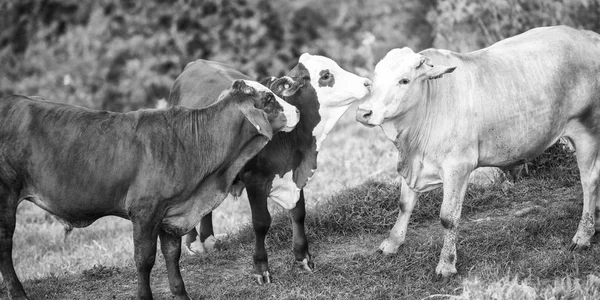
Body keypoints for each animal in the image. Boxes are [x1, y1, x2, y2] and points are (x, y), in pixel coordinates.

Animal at [0, 79, 298, 300]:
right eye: (268, 99)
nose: (296, 111)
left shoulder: (172, 213)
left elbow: (172, 255)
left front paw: (181, 293)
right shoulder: (145, 213)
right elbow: (144, 260)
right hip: (6, 196)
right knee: (5, 245)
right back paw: (18, 293)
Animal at [169, 54, 372, 284]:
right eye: (326, 75)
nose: (367, 83)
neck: (293, 140)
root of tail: (195, 62)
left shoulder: (295, 174)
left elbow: (299, 213)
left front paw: (303, 257)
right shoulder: (255, 181)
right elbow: (261, 223)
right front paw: (261, 268)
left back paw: (208, 239)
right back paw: (194, 242)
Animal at [354, 25, 600, 278]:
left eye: (404, 80)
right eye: (375, 77)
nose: (364, 112)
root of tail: (589, 36)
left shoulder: (458, 167)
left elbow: (448, 217)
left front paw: (446, 264)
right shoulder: (415, 164)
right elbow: (404, 204)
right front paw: (392, 243)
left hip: (587, 130)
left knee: (589, 180)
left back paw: (583, 235)